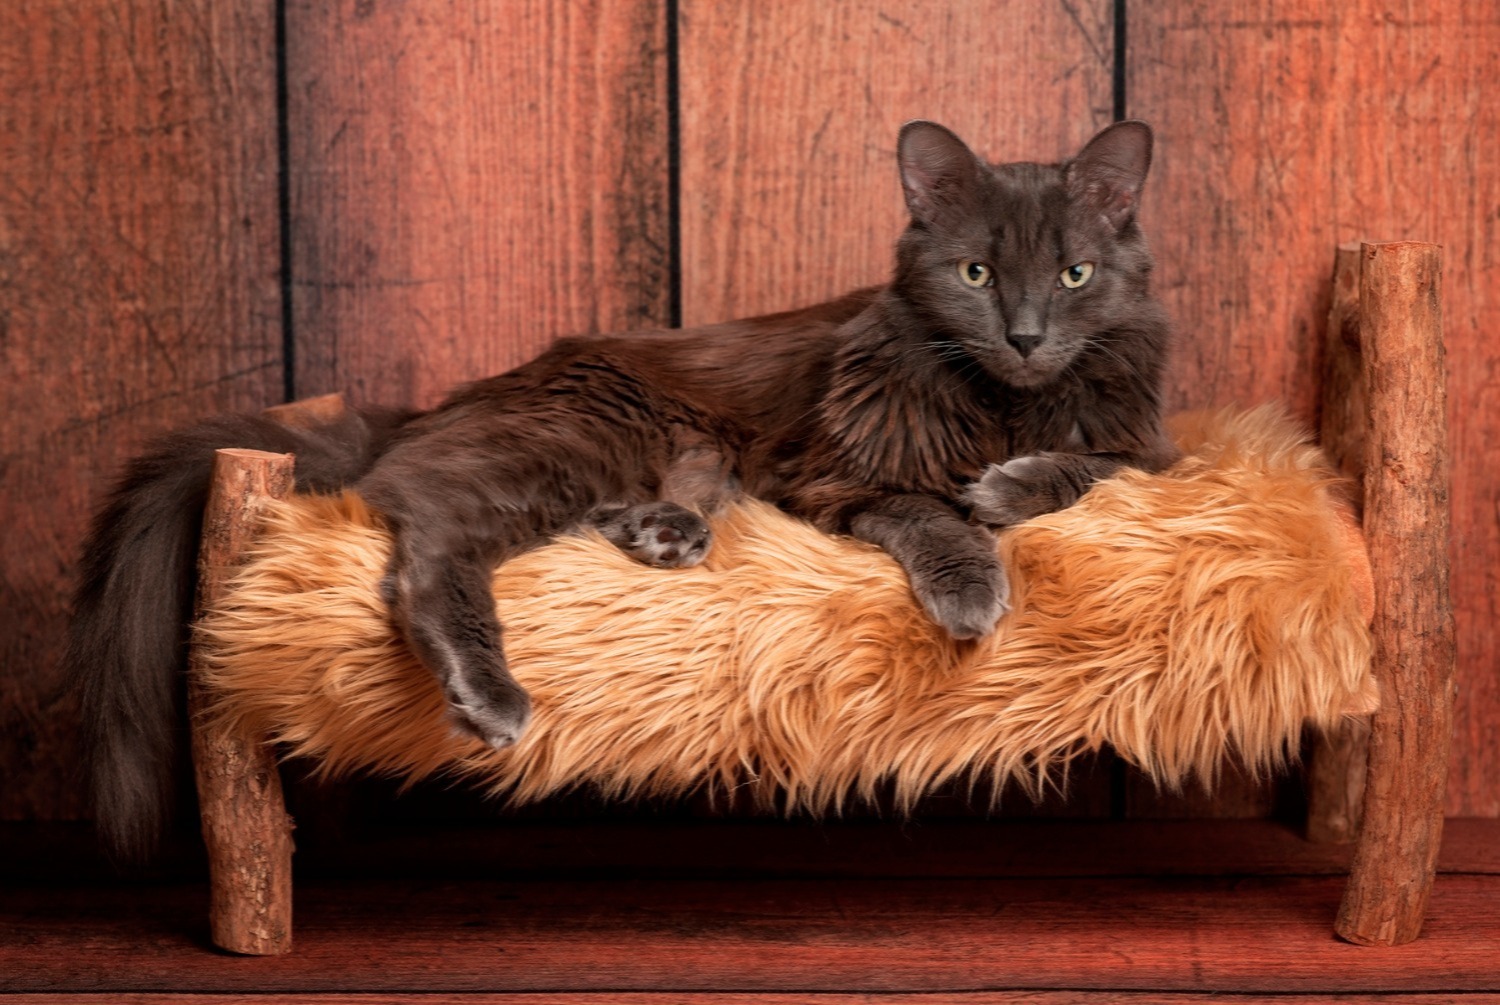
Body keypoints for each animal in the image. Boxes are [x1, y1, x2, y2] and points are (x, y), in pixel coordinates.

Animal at [70, 116, 1170, 858]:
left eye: (1073, 275)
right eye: (977, 274)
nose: (1024, 336)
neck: (1006, 404)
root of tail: (438, 404)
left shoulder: (1151, 448)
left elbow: (1094, 464)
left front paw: (1009, 488)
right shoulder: (833, 473)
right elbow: (927, 510)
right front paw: (974, 579)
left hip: (655, 453)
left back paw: (661, 533)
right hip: (585, 436)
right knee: (427, 540)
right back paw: (490, 694)